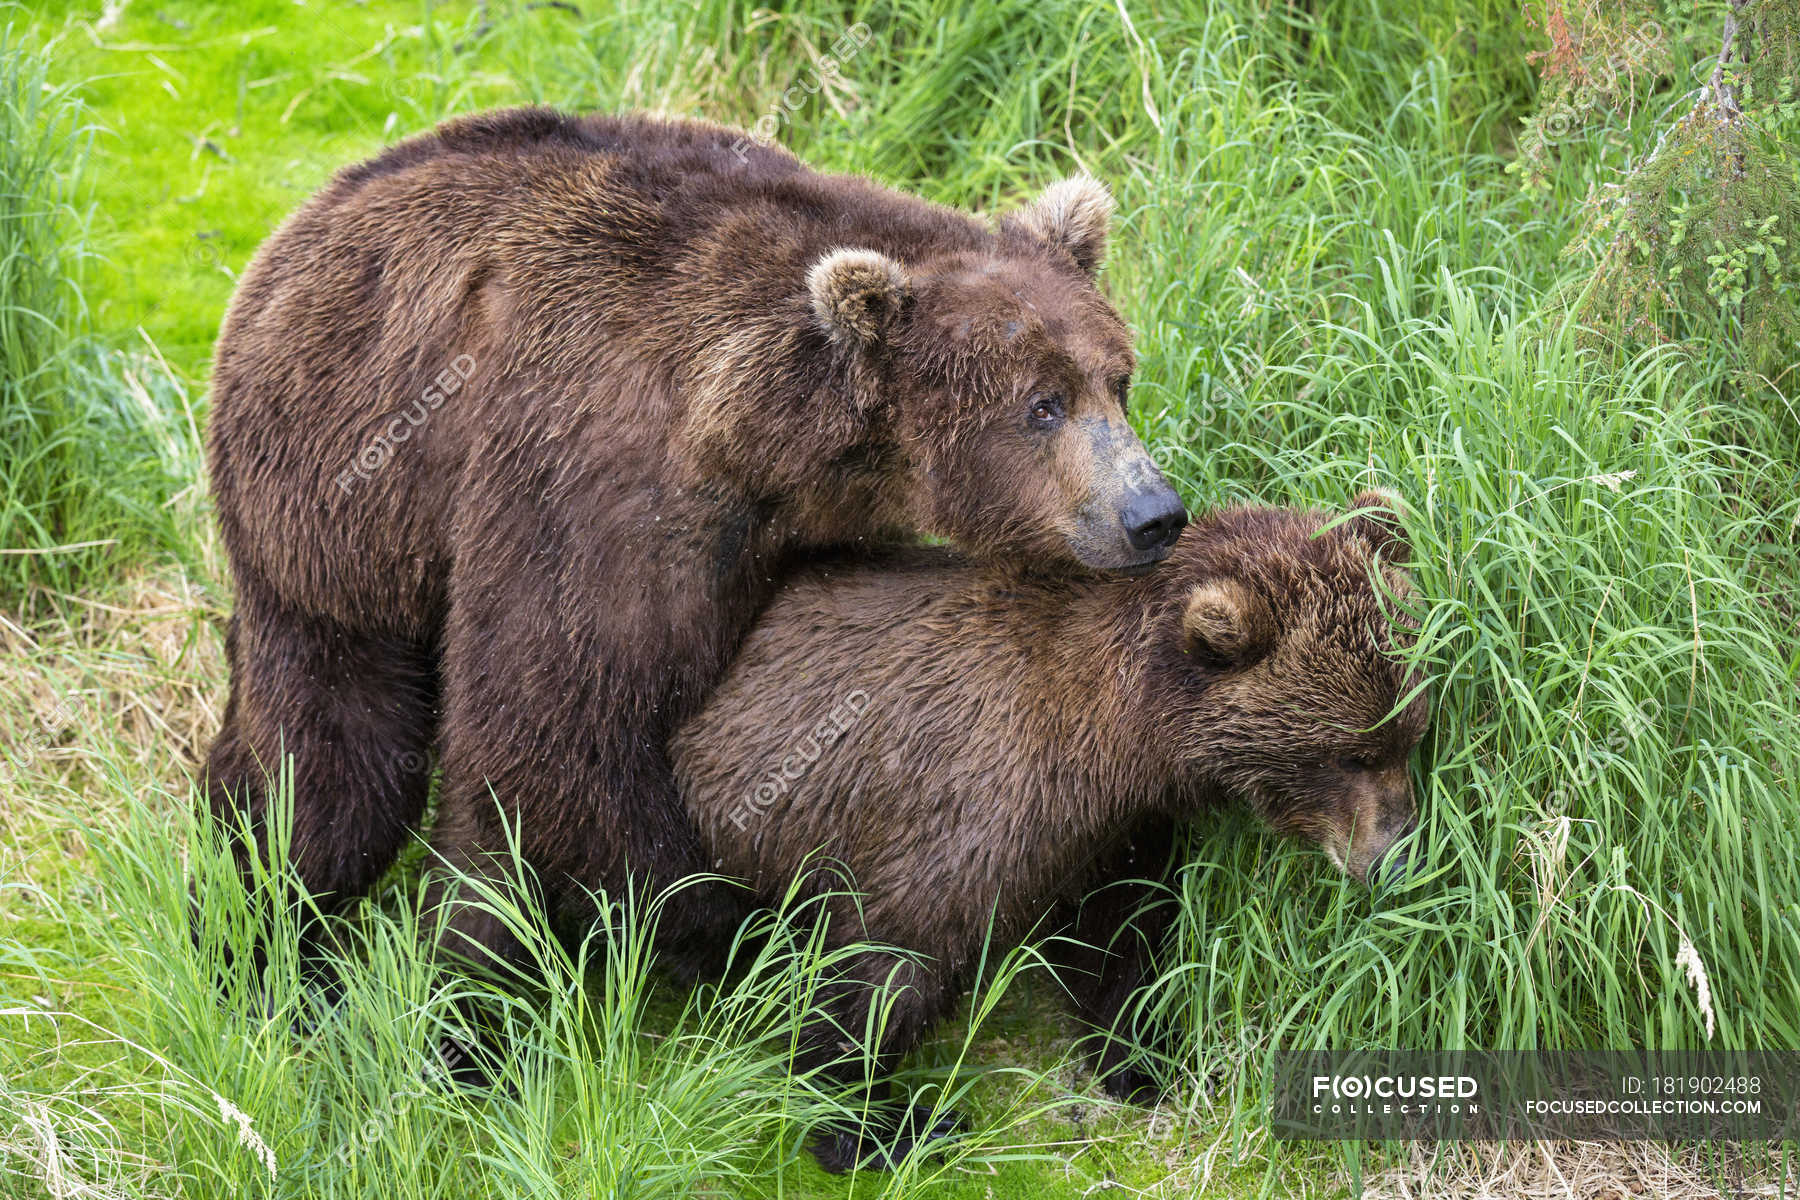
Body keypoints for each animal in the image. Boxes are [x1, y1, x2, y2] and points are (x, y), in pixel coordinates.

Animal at [204, 107, 1188, 978]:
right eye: (1040, 406)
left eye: (1117, 380)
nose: (1153, 512)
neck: (762, 432)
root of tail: (298, 226)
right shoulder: (597, 483)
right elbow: (556, 725)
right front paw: (726, 922)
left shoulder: (799, 517)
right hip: (333, 508)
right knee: (334, 765)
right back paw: (267, 930)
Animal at [669, 489, 1425, 1173]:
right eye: (1347, 754)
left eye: (1410, 733)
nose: (1396, 857)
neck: (1113, 743)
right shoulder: (969, 802)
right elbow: (887, 958)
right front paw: (880, 1123)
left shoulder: (1112, 833)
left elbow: (1120, 939)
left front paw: (1141, 1058)